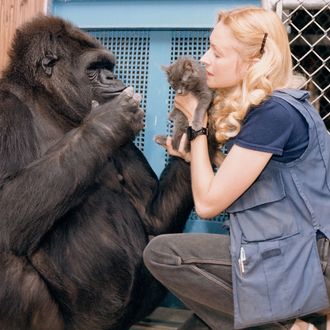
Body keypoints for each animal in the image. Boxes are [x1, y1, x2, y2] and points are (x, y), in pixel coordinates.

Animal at [0, 15, 193, 330]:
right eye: (93, 69)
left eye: (108, 67)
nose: (113, 79)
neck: (48, 102)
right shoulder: (6, 109)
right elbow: (6, 206)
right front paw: (106, 122)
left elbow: (153, 216)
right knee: (8, 260)